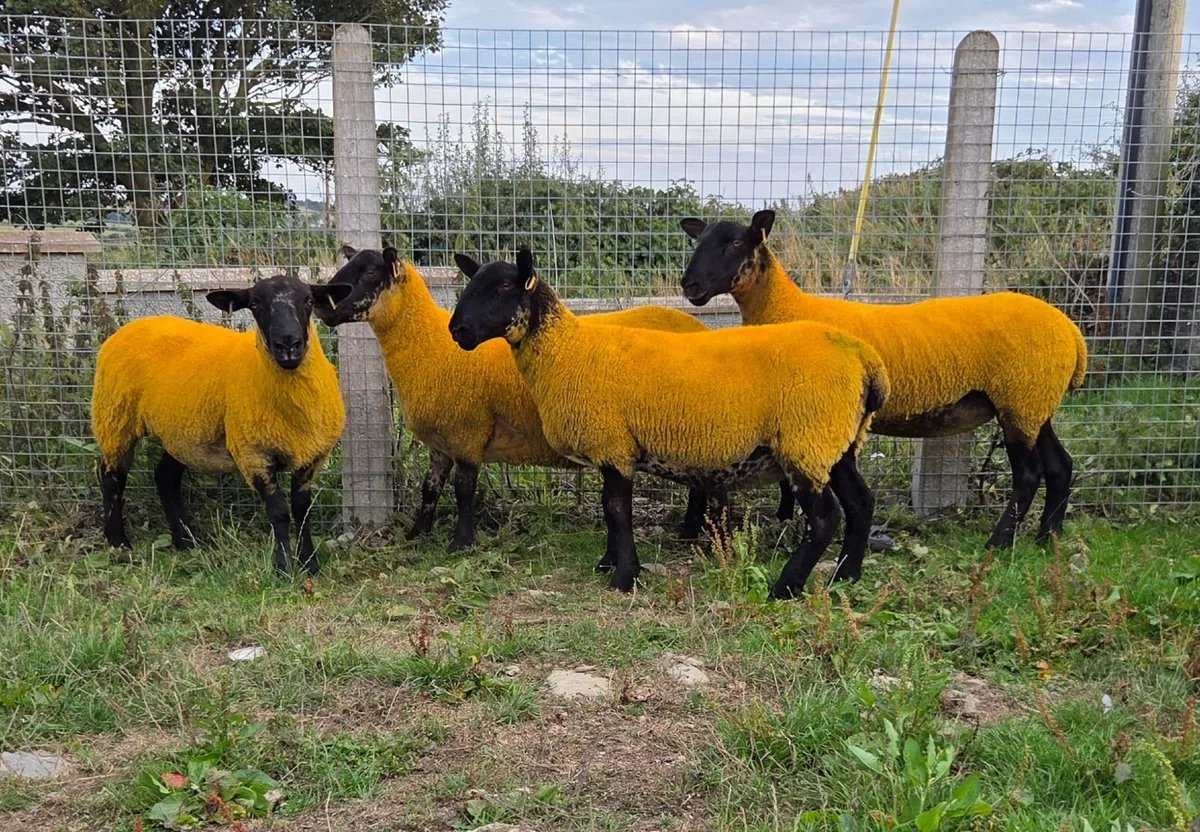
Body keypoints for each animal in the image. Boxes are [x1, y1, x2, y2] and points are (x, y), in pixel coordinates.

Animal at [91, 275, 352, 575]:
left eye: (308, 300)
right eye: (254, 304)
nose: (288, 345)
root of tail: (131, 326)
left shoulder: (311, 455)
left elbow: (302, 510)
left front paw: (310, 565)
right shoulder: (253, 455)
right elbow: (279, 513)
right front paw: (283, 568)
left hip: (182, 431)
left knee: (165, 477)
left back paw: (186, 541)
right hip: (115, 417)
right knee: (112, 478)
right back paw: (119, 542)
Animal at [318, 245, 760, 552]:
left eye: (370, 271)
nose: (324, 309)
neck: (430, 348)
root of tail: (700, 326)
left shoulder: (467, 432)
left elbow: (463, 490)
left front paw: (461, 543)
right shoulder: (441, 443)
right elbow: (430, 491)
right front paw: (416, 535)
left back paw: (699, 537)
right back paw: (687, 534)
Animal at [447, 245, 890, 598]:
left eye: (503, 288)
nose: (457, 330)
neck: (566, 350)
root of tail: (863, 357)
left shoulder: (613, 443)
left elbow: (615, 510)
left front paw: (624, 576)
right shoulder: (615, 447)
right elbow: (611, 510)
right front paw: (610, 563)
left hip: (806, 440)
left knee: (825, 517)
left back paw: (786, 586)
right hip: (836, 442)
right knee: (861, 503)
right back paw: (846, 576)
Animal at [680, 209, 1089, 548]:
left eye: (736, 242)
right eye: (698, 241)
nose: (690, 286)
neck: (786, 308)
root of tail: (1071, 332)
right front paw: (784, 519)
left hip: (1020, 399)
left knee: (1030, 474)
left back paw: (1001, 542)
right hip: (1035, 402)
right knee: (1060, 465)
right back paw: (1047, 537)